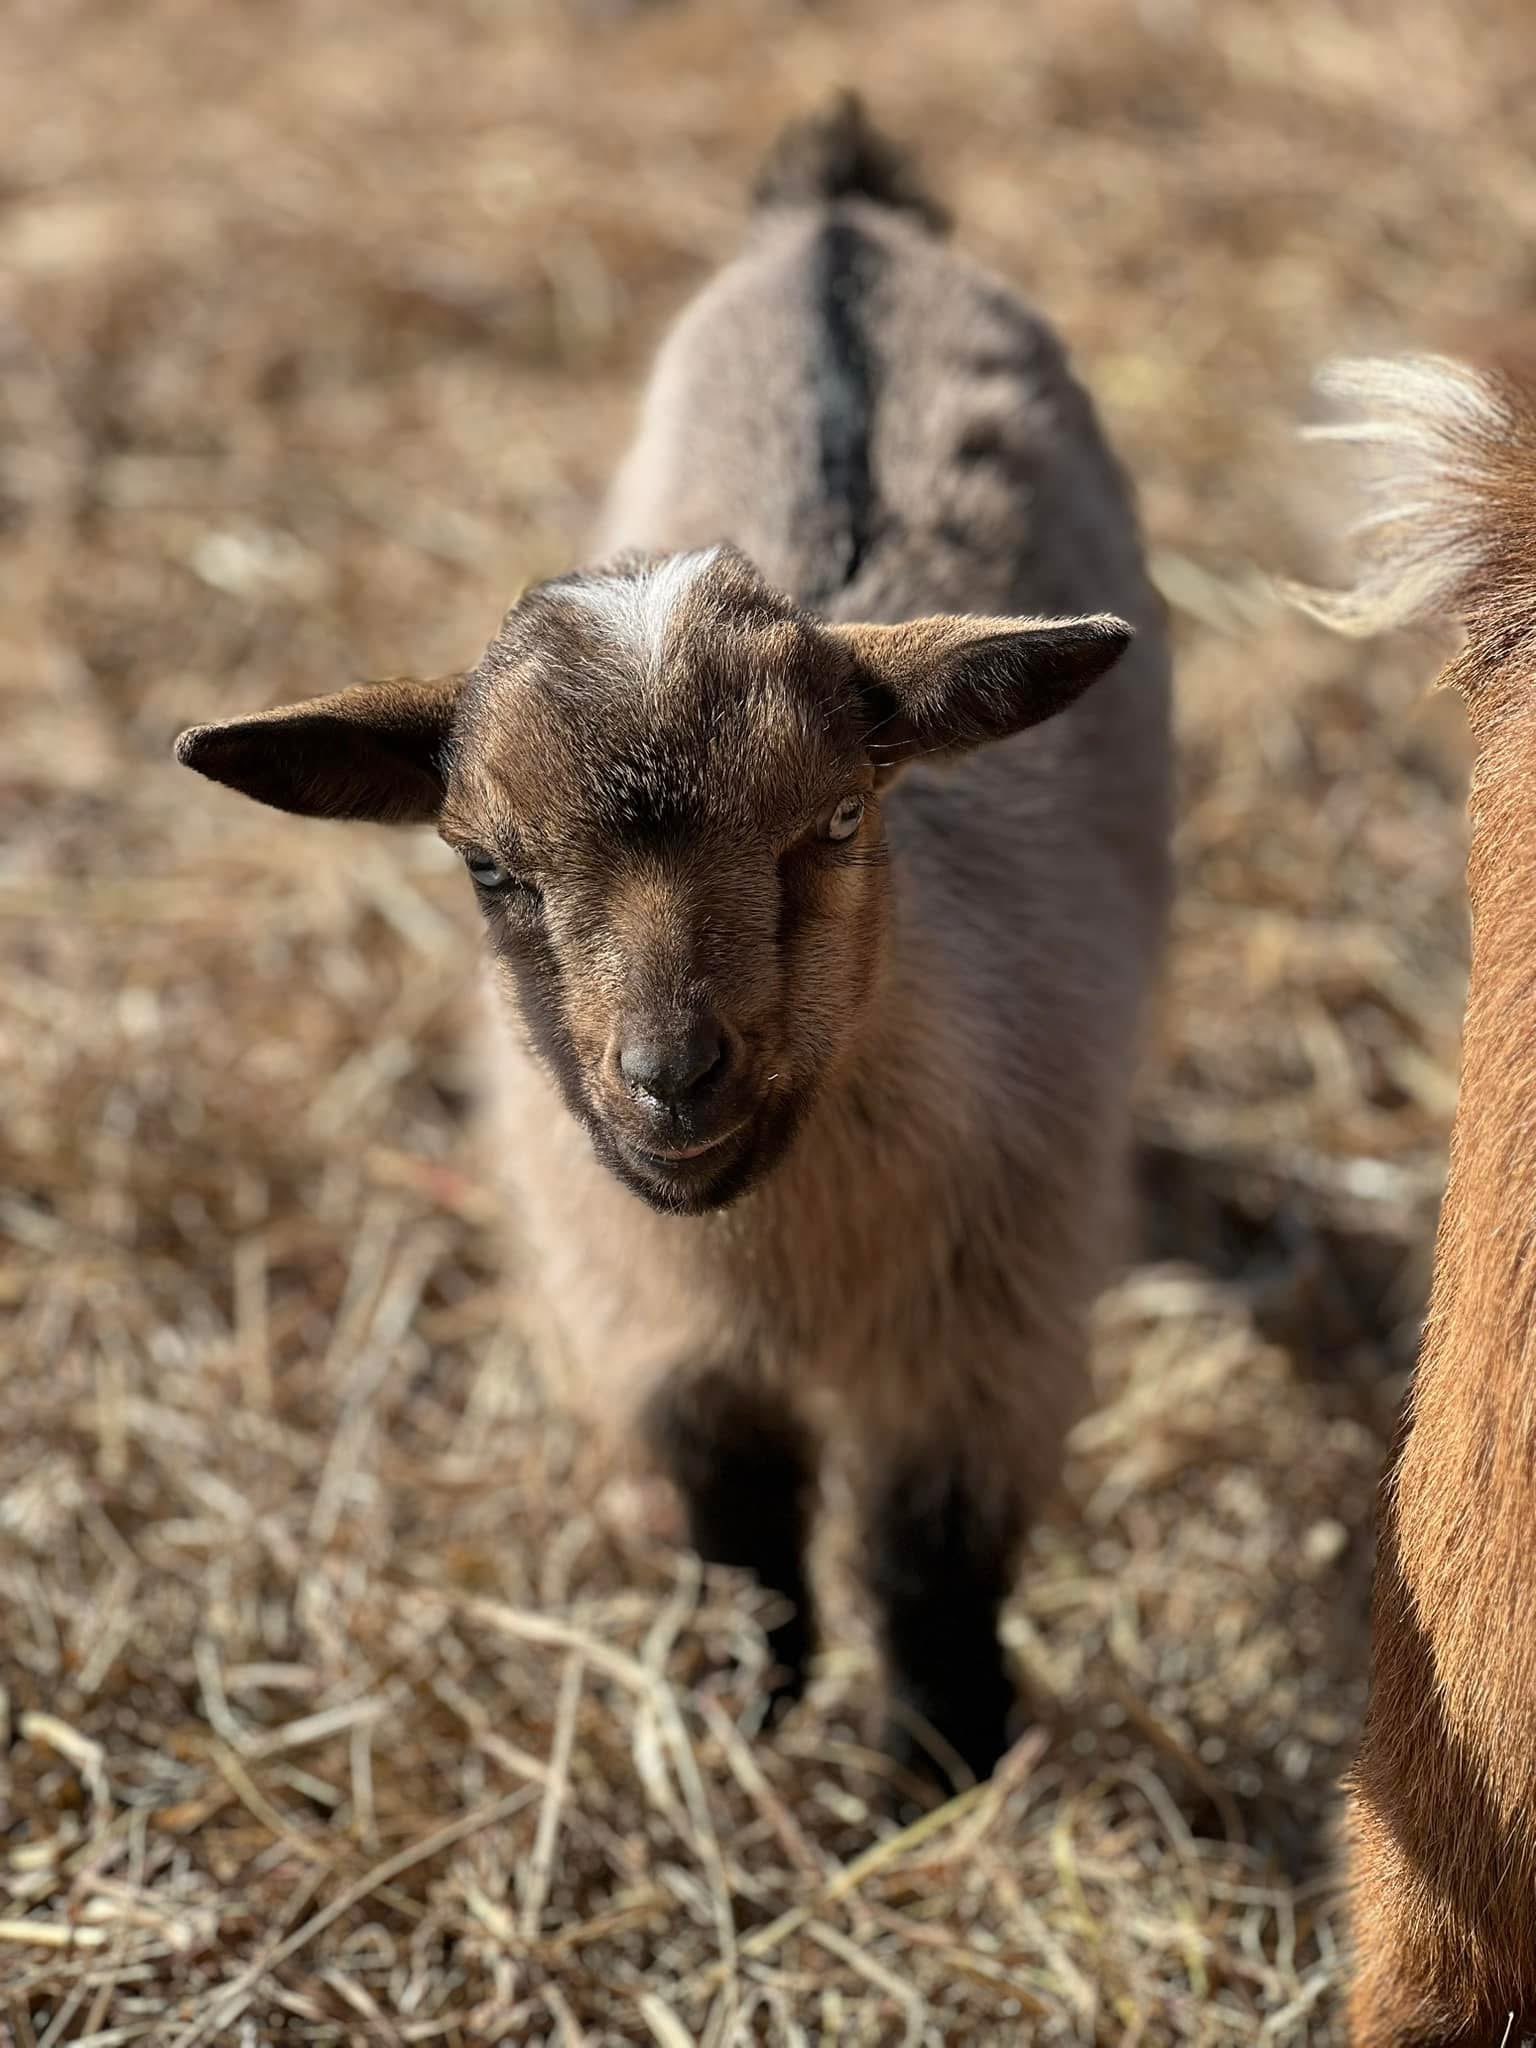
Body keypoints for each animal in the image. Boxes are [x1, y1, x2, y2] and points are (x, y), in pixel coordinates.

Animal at [174, 96, 1172, 1791]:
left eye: (838, 820)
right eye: (486, 864)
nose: (671, 1077)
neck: (772, 1253)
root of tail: (841, 222)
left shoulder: (987, 1341)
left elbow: (930, 1570)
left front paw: (937, 1775)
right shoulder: (655, 1340)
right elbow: (741, 1544)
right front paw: (740, 1718)